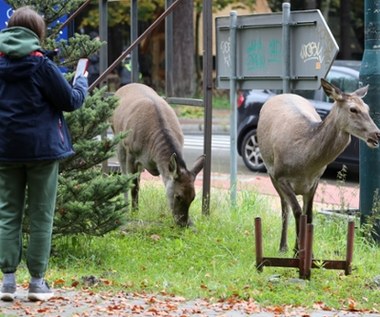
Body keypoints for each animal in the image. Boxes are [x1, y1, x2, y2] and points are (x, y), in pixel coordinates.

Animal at [110, 82, 205, 225]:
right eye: (178, 196)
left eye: (193, 197)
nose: (183, 223)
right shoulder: (131, 152)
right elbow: (133, 186)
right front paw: (134, 213)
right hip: (118, 137)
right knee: (123, 173)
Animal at [256, 78, 378, 252]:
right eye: (353, 109)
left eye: (367, 108)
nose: (377, 134)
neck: (304, 162)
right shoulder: (280, 176)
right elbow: (297, 212)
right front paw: (297, 251)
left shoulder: (315, 180)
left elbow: (309, 215)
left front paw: (309, 253)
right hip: (270, 172)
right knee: (284, 207)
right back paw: (283, 247)